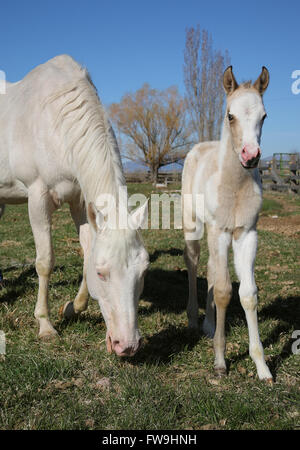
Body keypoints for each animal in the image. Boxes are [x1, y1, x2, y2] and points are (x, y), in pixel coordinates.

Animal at [0, 55, 149, 356]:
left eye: (144, 271)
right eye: (102, 274)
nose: (127, 346)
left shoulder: (81, 202)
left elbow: (87, 250)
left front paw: (72, 308)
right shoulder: (37, 198)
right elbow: (45, 262)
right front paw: (45, 325)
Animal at [182, 67, 274, 382]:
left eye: (264, 116)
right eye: (230, 115)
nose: (251, 155)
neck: (234, 187)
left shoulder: (247, 234)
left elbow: (248, 294)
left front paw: (262, 366)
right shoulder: (220, 232)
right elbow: (223, 291)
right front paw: (220, 361)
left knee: (211, 269)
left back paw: (210, 325)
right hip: (195, 226)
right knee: (195, 262)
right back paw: (194, 320)